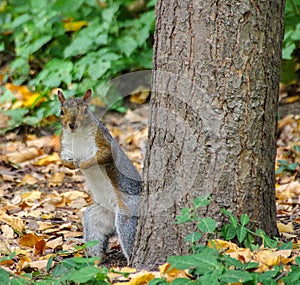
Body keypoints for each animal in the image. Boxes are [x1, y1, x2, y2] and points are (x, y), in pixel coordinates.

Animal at [57, 89, 142, 262]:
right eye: (61, 112)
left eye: (85, 111)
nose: (72, 125)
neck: (77, 135)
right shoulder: (66, 147)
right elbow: (63, 160)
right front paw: (72, 165)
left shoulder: (103, 141)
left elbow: (101, 156)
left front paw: (83, 164)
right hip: (96, 218)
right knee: (95, 236)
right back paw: (95, 261)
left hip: (126, 216)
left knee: (128, 237)